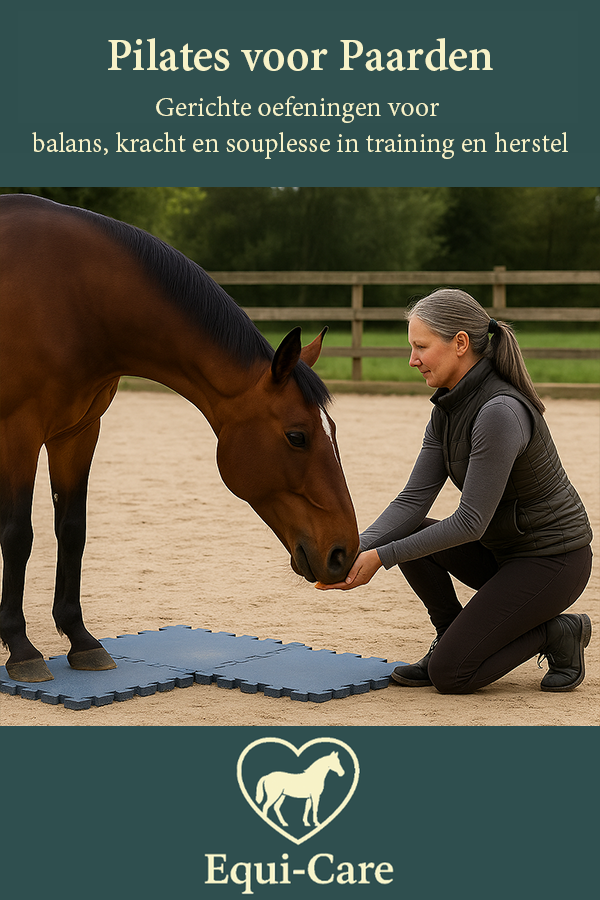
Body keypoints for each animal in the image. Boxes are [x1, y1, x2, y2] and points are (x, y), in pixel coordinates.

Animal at [0, 194, 359, 684]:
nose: (345, 551)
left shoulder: (78, 432)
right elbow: (18, 535)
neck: (72, 295)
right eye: (297, 436)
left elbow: (72, 529)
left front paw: (81, 640)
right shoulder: (20, 431)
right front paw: (21, 649)